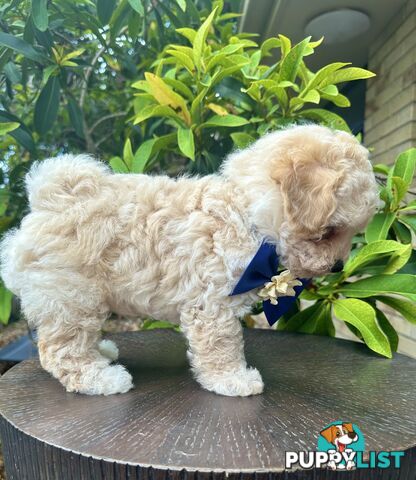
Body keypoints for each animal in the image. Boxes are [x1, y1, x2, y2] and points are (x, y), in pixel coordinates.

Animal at [0, 124, 376, 398]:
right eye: (328, 232)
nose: (337, 267)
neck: (246, 213)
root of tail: (50, 200)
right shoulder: (212, 305)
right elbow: (221, 346)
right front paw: (234, 380)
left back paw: (102, 353)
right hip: (72, 297)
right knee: (62, 350)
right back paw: (101, 379)